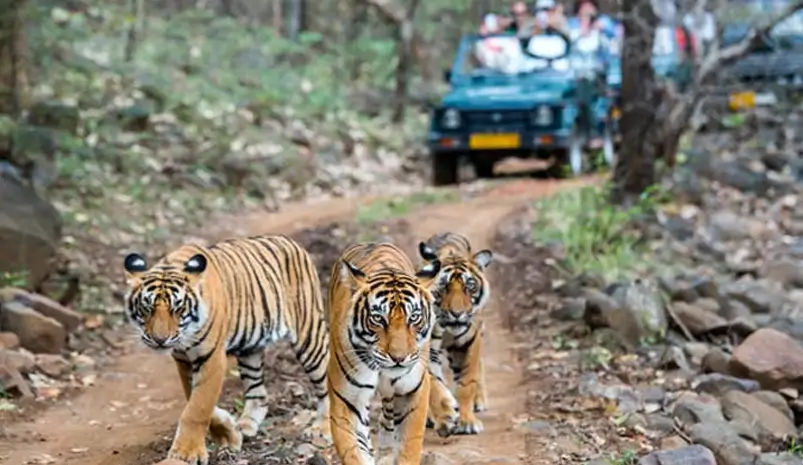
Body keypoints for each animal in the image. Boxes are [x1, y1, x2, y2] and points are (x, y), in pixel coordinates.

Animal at [122, 235, 330, 465]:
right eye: (147, 308)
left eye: (178, 308)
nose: (160, 340)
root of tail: (290, 241)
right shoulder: (183, 359)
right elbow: (194, 398)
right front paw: (229, 434)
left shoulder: (211, 357)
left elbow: (198, 406)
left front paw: (186, 452)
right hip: (250, 349)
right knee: (258, 393)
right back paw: (246, 425)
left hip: (309, 335)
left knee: (326, 383)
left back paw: (323, 429)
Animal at [326, 242, 450, 465]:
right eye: (378, 318)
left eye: (414, 317)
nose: (398, 358)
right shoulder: (346, 399)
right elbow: (353, 451)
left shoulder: (412, 392)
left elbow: (408, 446)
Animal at [417, 232, 493, 435]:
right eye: (443, 287)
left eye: (470, 286)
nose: (457, 313)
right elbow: (434, 383)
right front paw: (445, 414)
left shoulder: (469, 342)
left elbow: (466, 382)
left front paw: (467, 421)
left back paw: (479, 401)